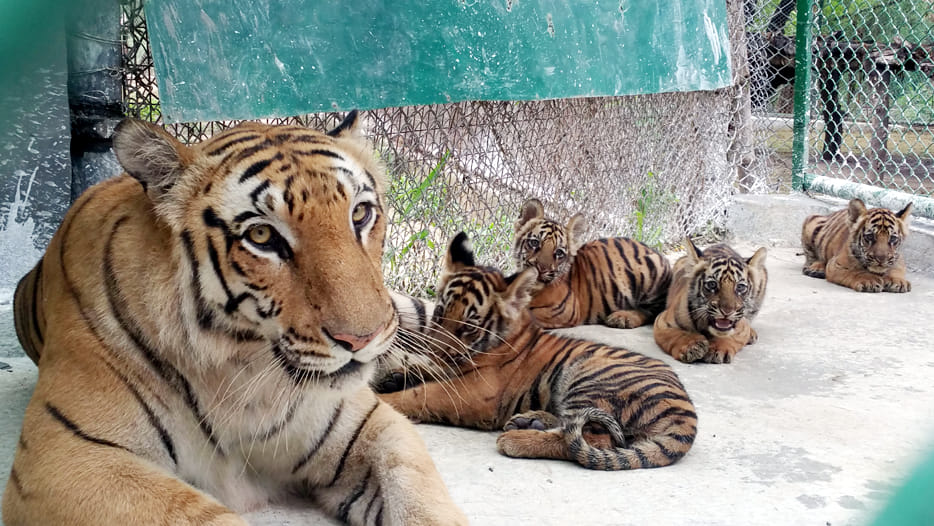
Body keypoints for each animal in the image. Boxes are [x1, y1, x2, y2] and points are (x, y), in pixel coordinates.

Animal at [3, 112, 467, 526]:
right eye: (262, 236)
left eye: (359, 214)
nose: (361, 339)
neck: (240, 369)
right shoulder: (70, 458)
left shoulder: (371, 426)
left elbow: (420, 497)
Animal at [377, 232, 697, 471]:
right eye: (441, 312)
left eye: (469, 327)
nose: (435, 351)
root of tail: (688, 413)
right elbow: (425, 371)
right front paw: (395, 376)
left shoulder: (477, 392)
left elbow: (423, 395)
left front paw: (387, 397)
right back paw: (529, 420)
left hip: (589, 376)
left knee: (593, 439)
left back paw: (517, 439)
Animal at [513, 198, 672, 329]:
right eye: (534, 243)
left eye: (559, 252)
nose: (541, 269)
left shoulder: (563, 311)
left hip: (651, 271)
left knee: (652, 311)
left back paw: (622, 318)